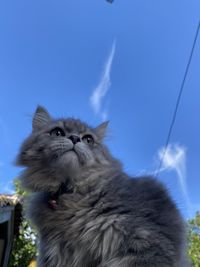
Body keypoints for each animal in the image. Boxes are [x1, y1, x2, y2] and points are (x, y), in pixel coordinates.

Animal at [16, 107, 189, 267]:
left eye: (88, 139)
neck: (71, 192)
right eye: (57, 132)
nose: (74, 138)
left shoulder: (147, 242)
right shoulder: (55, 253)